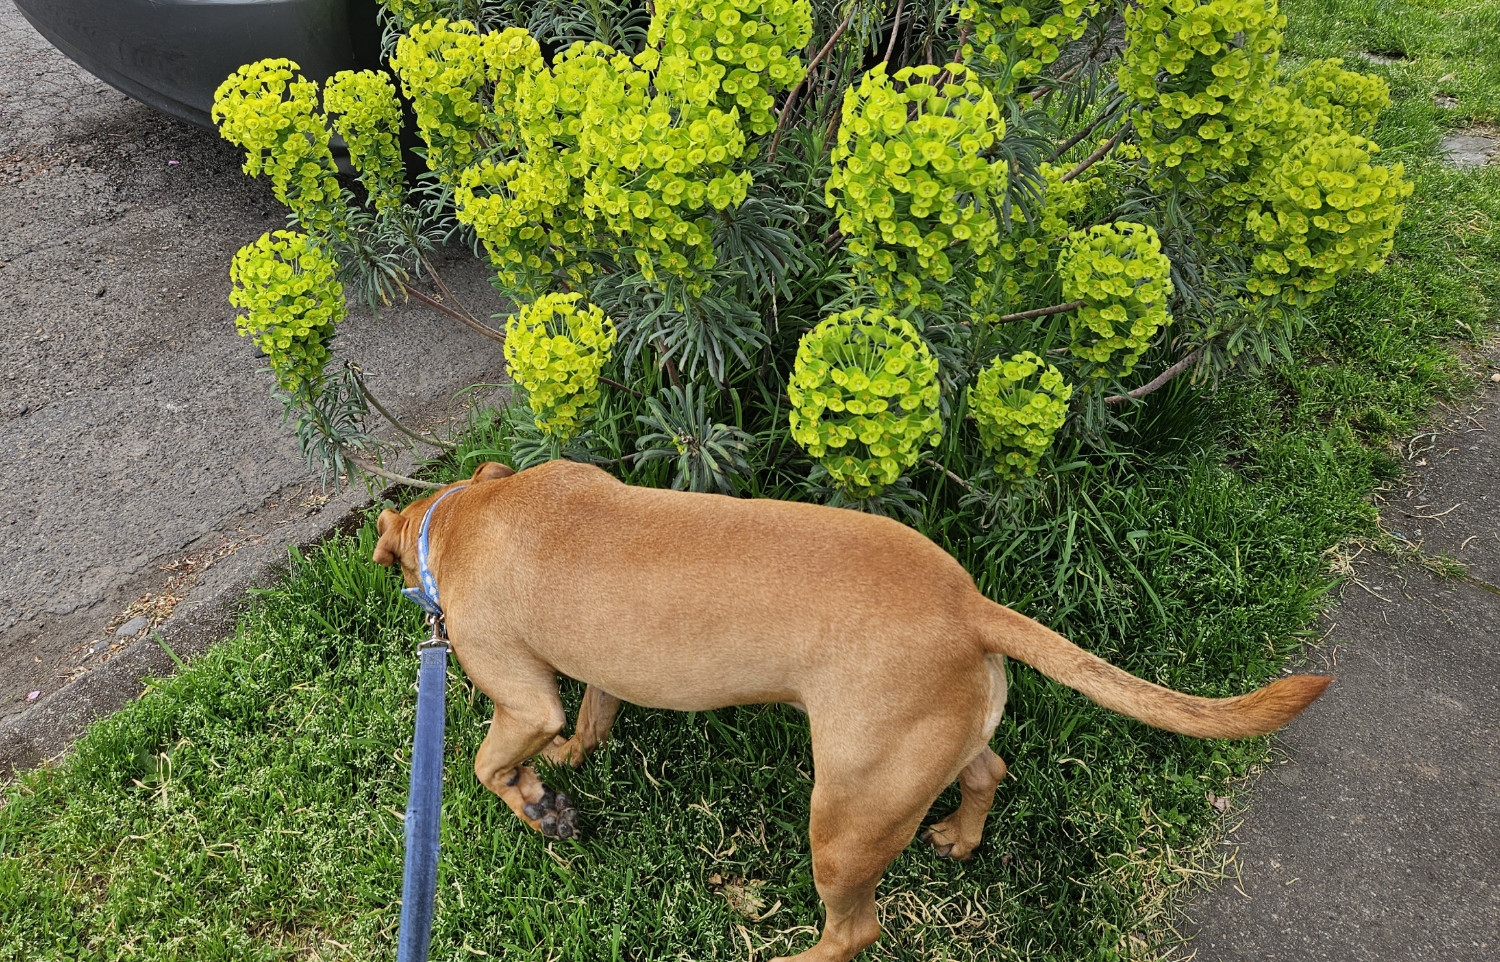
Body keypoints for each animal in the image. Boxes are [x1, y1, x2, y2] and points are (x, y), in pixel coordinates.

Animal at [372, 459, 1326, 960]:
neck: (467, 512)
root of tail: (967, 605)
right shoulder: (596, 673)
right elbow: (595, 713)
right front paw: (572, 764)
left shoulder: (520, 696)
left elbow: (489, 762)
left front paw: (539, 802)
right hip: (919, 754)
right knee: (989, 769)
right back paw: (961, 836)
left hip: (843, 819)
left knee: (856, 929)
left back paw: (798, 954)